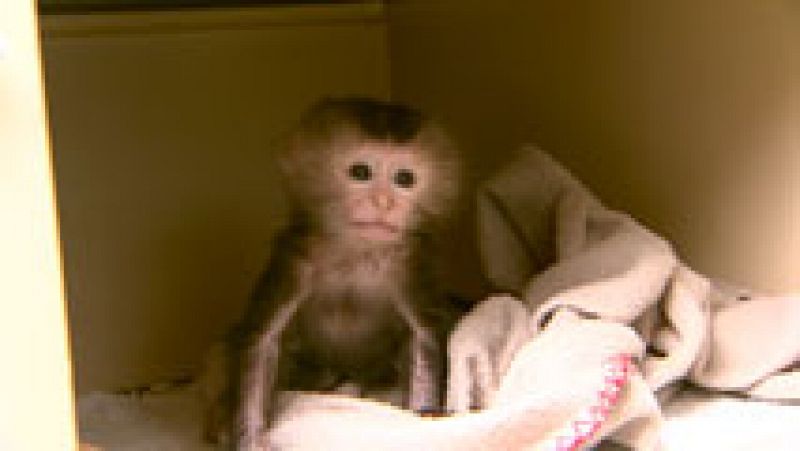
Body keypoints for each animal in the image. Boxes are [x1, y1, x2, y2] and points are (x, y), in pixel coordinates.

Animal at [199, 97, 462, 450]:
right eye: (360, 172)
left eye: (405, 179)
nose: (384, 202)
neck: (355, 253)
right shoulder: (295, 259)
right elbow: (265, 341)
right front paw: (249, 438)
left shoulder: (410, 262)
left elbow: (422, 336)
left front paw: (426, 415)